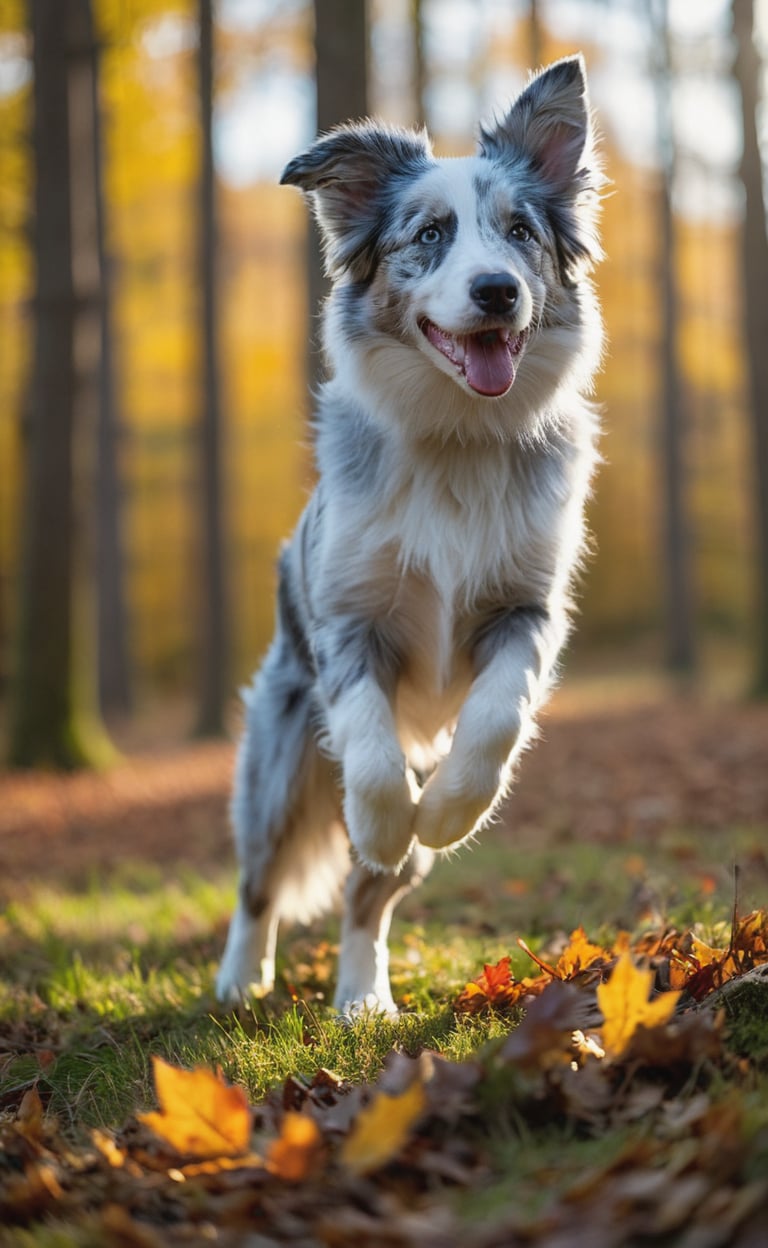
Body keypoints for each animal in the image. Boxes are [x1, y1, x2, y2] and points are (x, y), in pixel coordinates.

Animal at [214, 53, 601, 1018]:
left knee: (369, 899)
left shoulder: (527, 611)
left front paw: (445, 813)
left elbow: (496, 720)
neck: (458, 435)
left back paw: (363, 997)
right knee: (259, 879)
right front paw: (386, 818)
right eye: (429, 233)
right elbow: (371, 753)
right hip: (277, 765)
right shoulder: (348, 623)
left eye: (520, 232)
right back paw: (241, 978)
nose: (497, 289)